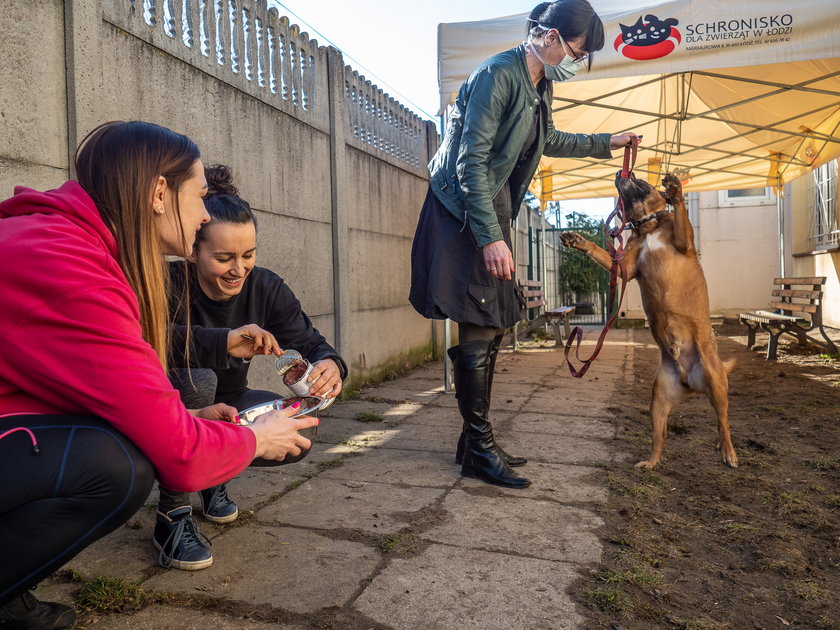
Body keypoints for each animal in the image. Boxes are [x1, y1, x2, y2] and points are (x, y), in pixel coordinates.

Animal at [564, 173, 736, 470]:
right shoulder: (624, 268)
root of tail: (689, 381)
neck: (648, 225)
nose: (624, 172)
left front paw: (675, 189)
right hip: (658, 400)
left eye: (641, 179)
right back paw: (650, 462)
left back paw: (728, 452)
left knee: (722, 422)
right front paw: (579, 241)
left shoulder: (685, 243)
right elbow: (601, 252)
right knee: (661, 436)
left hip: (716, 383)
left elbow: (681, 215)